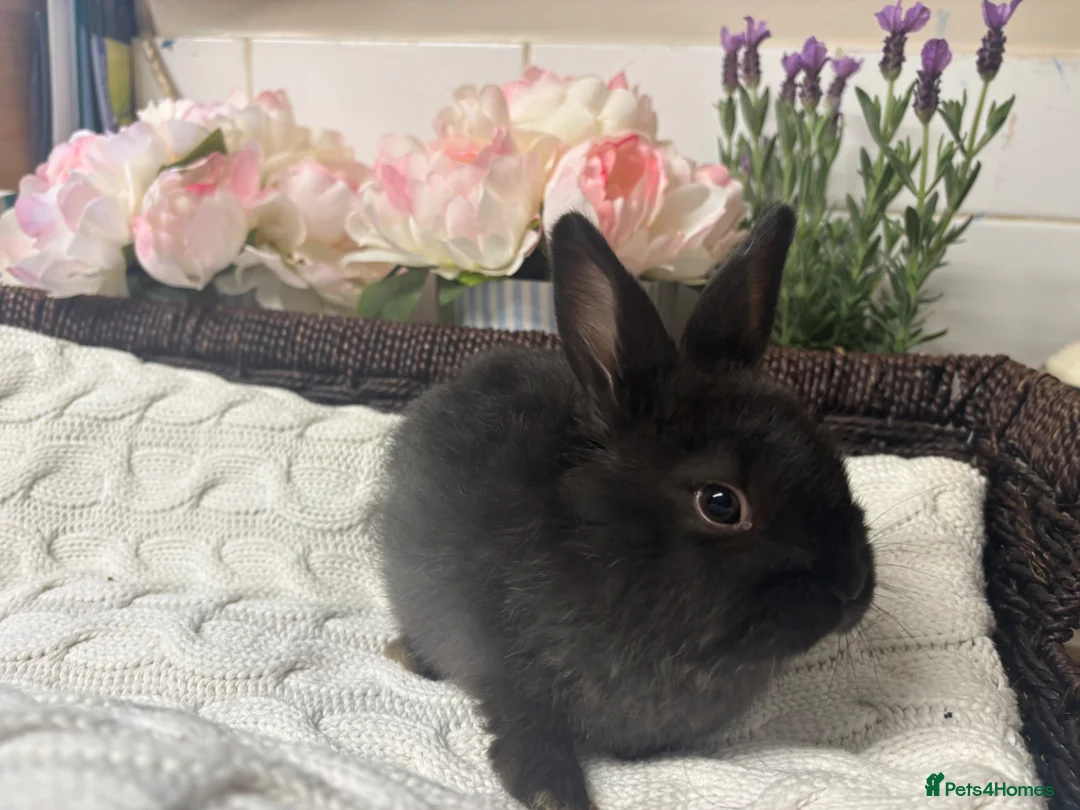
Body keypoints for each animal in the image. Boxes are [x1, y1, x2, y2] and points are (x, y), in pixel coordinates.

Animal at [370, 203, 875, 810]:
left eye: (832, 456)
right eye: (721, 503)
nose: (852, 587)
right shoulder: (505, 674)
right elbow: (528, 734)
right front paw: (557, 796)